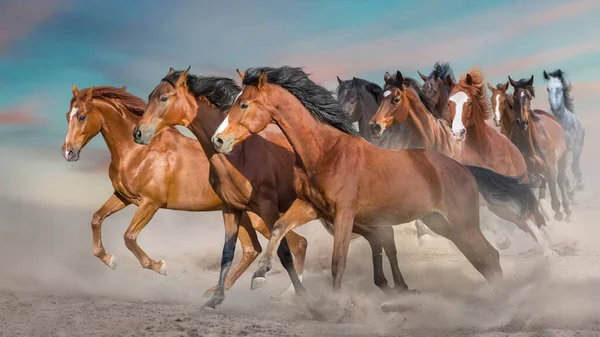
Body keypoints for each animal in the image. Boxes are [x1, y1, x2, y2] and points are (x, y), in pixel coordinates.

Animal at [59, 84, 310, 296]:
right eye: (67, 116)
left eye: (81, 116)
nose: (68, 152)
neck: (137, 151)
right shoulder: (123, 197)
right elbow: (96, 218)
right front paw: (109, 259)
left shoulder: (150, 203)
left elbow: (129, 237)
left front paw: (159, 266)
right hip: (245, 216)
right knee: (254, 249)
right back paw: (216, 291)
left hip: (260, 216)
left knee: (296, 244)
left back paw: (288, 295)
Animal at [132, 67, 412, 308]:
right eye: (151, 95)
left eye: (164, 98)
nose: (138, 133)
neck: (240, 155)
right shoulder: (231, 208)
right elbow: (227, 254)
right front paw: (215, 299)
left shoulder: (267, 208)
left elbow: (284, 252)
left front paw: (294, 291)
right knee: (379, 237)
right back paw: (394, 287)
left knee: (382, 237)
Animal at [510, 75, 572, 222]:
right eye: (514, 97)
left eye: (528, 96)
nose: (522, 122)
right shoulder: (527, 172)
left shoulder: (549, 167)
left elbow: (554, 195)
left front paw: (558, 214)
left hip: (562, 158)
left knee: (560, 180)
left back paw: (566, 210)